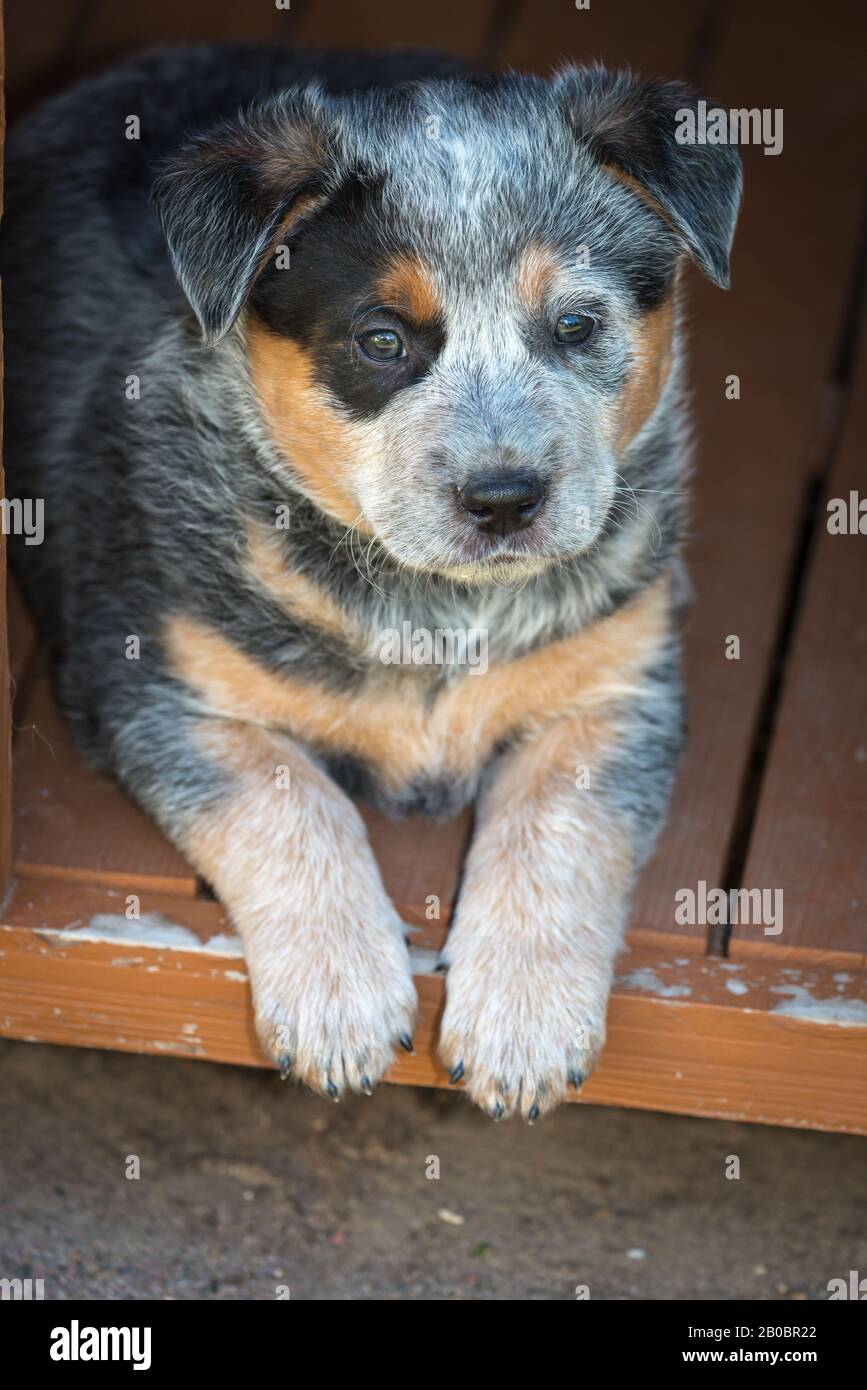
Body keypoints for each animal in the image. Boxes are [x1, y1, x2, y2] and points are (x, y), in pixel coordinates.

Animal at [3, 43, 739, 1117]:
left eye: (575, 324)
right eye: (382, 339)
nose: (505, 498)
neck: (434, 604)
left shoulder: (619, 688)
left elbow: (560, 826)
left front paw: (523, 1020)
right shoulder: (152, 685)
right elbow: (291, 800)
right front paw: (340, 999)